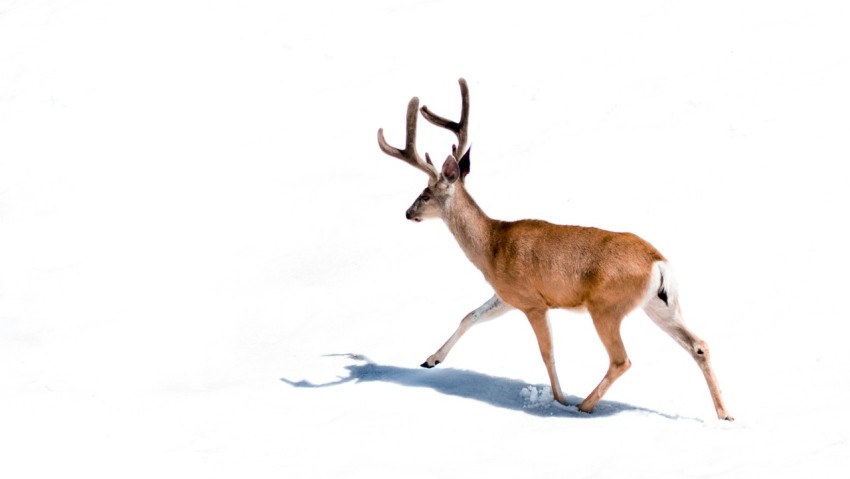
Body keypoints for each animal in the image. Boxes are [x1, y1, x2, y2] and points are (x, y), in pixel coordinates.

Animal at [374, 78, 732, 420]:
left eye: (425, 194)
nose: (408, 212)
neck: (491, 245)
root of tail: (658, 263)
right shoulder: (507, 295)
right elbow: (469, 316)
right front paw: (431, 359)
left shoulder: (533, 302)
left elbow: (547, 353)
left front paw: (559, 399)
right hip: (659, 304)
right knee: (698, 345)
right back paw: (724, 414)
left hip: (607, 306)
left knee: (621, 359)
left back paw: (583, 405)